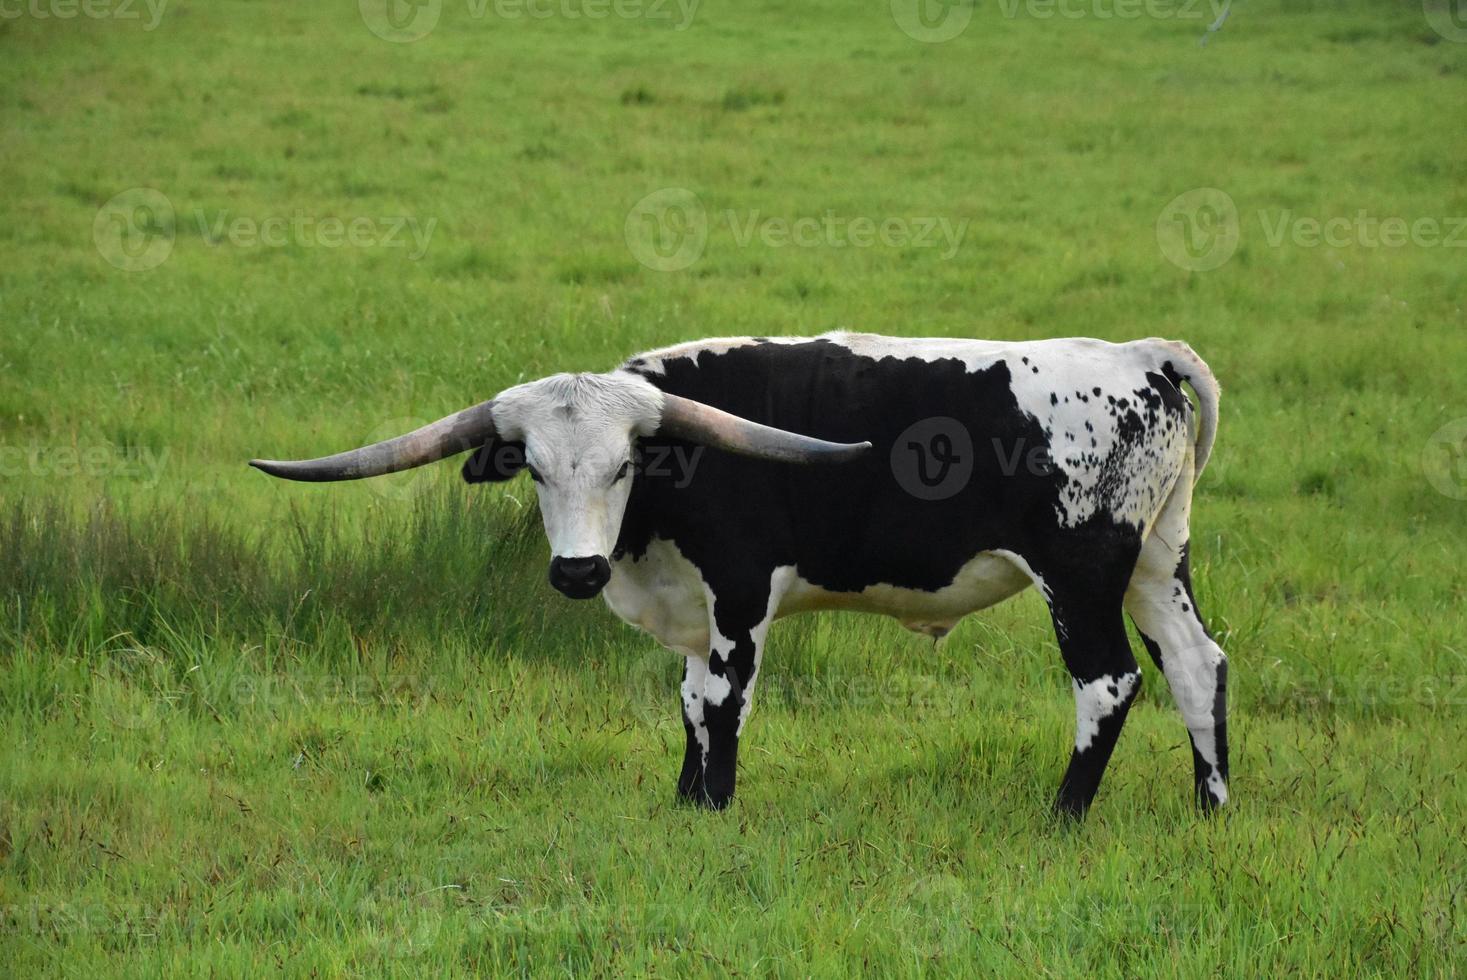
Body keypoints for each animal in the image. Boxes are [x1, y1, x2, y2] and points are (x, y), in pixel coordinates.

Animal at [252, 333, 1226, 815]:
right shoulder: (690, 608)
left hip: (1081, 572)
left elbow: (722, 702)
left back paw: (1063, 813)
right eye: (532, 467)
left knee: (1107, 682)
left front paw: (716, 807)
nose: (575, 573)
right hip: (1152, 563)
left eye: (624, 464)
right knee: (1196, 663)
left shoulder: (740, 594)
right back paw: (1209, 805)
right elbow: (688, 702)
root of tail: (1140, 355)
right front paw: (685, 804)